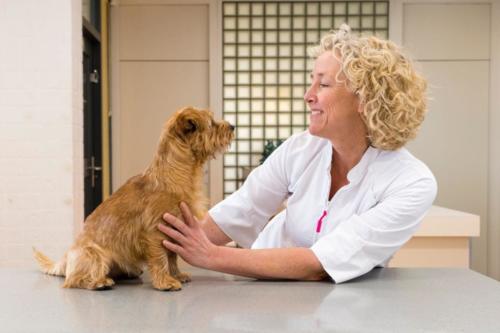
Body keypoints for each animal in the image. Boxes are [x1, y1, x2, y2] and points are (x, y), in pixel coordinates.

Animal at [35, 107, 234, 290]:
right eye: (212, 123)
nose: (232, 126)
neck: (173, 173)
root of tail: (67, 257)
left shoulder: (174, 230)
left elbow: (172, 256)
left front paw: (176, 274)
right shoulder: (155, 231)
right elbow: (161, 257)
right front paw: (165, 281)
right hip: (94, 254)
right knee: (74, 279)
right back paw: (99, 282)